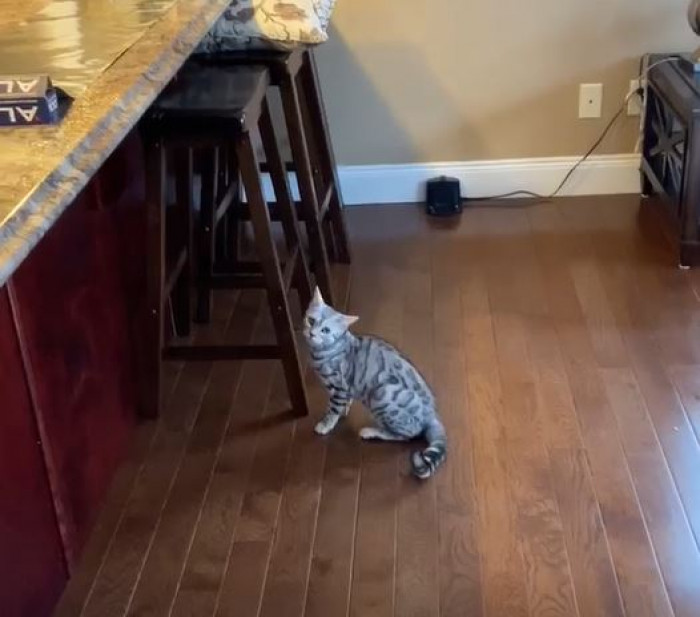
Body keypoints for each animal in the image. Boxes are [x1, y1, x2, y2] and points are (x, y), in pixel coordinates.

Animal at [302, 286, 446, 478]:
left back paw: (371, 432)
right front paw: (344, 411)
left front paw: (326, 424)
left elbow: (332, 409)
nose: (312, 333)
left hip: (381, 394)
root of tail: (432, 414)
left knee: (407, 435)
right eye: (311, 320)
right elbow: (344, 403)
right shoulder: (346, 388)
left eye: (325, 330)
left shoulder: (339, 386)